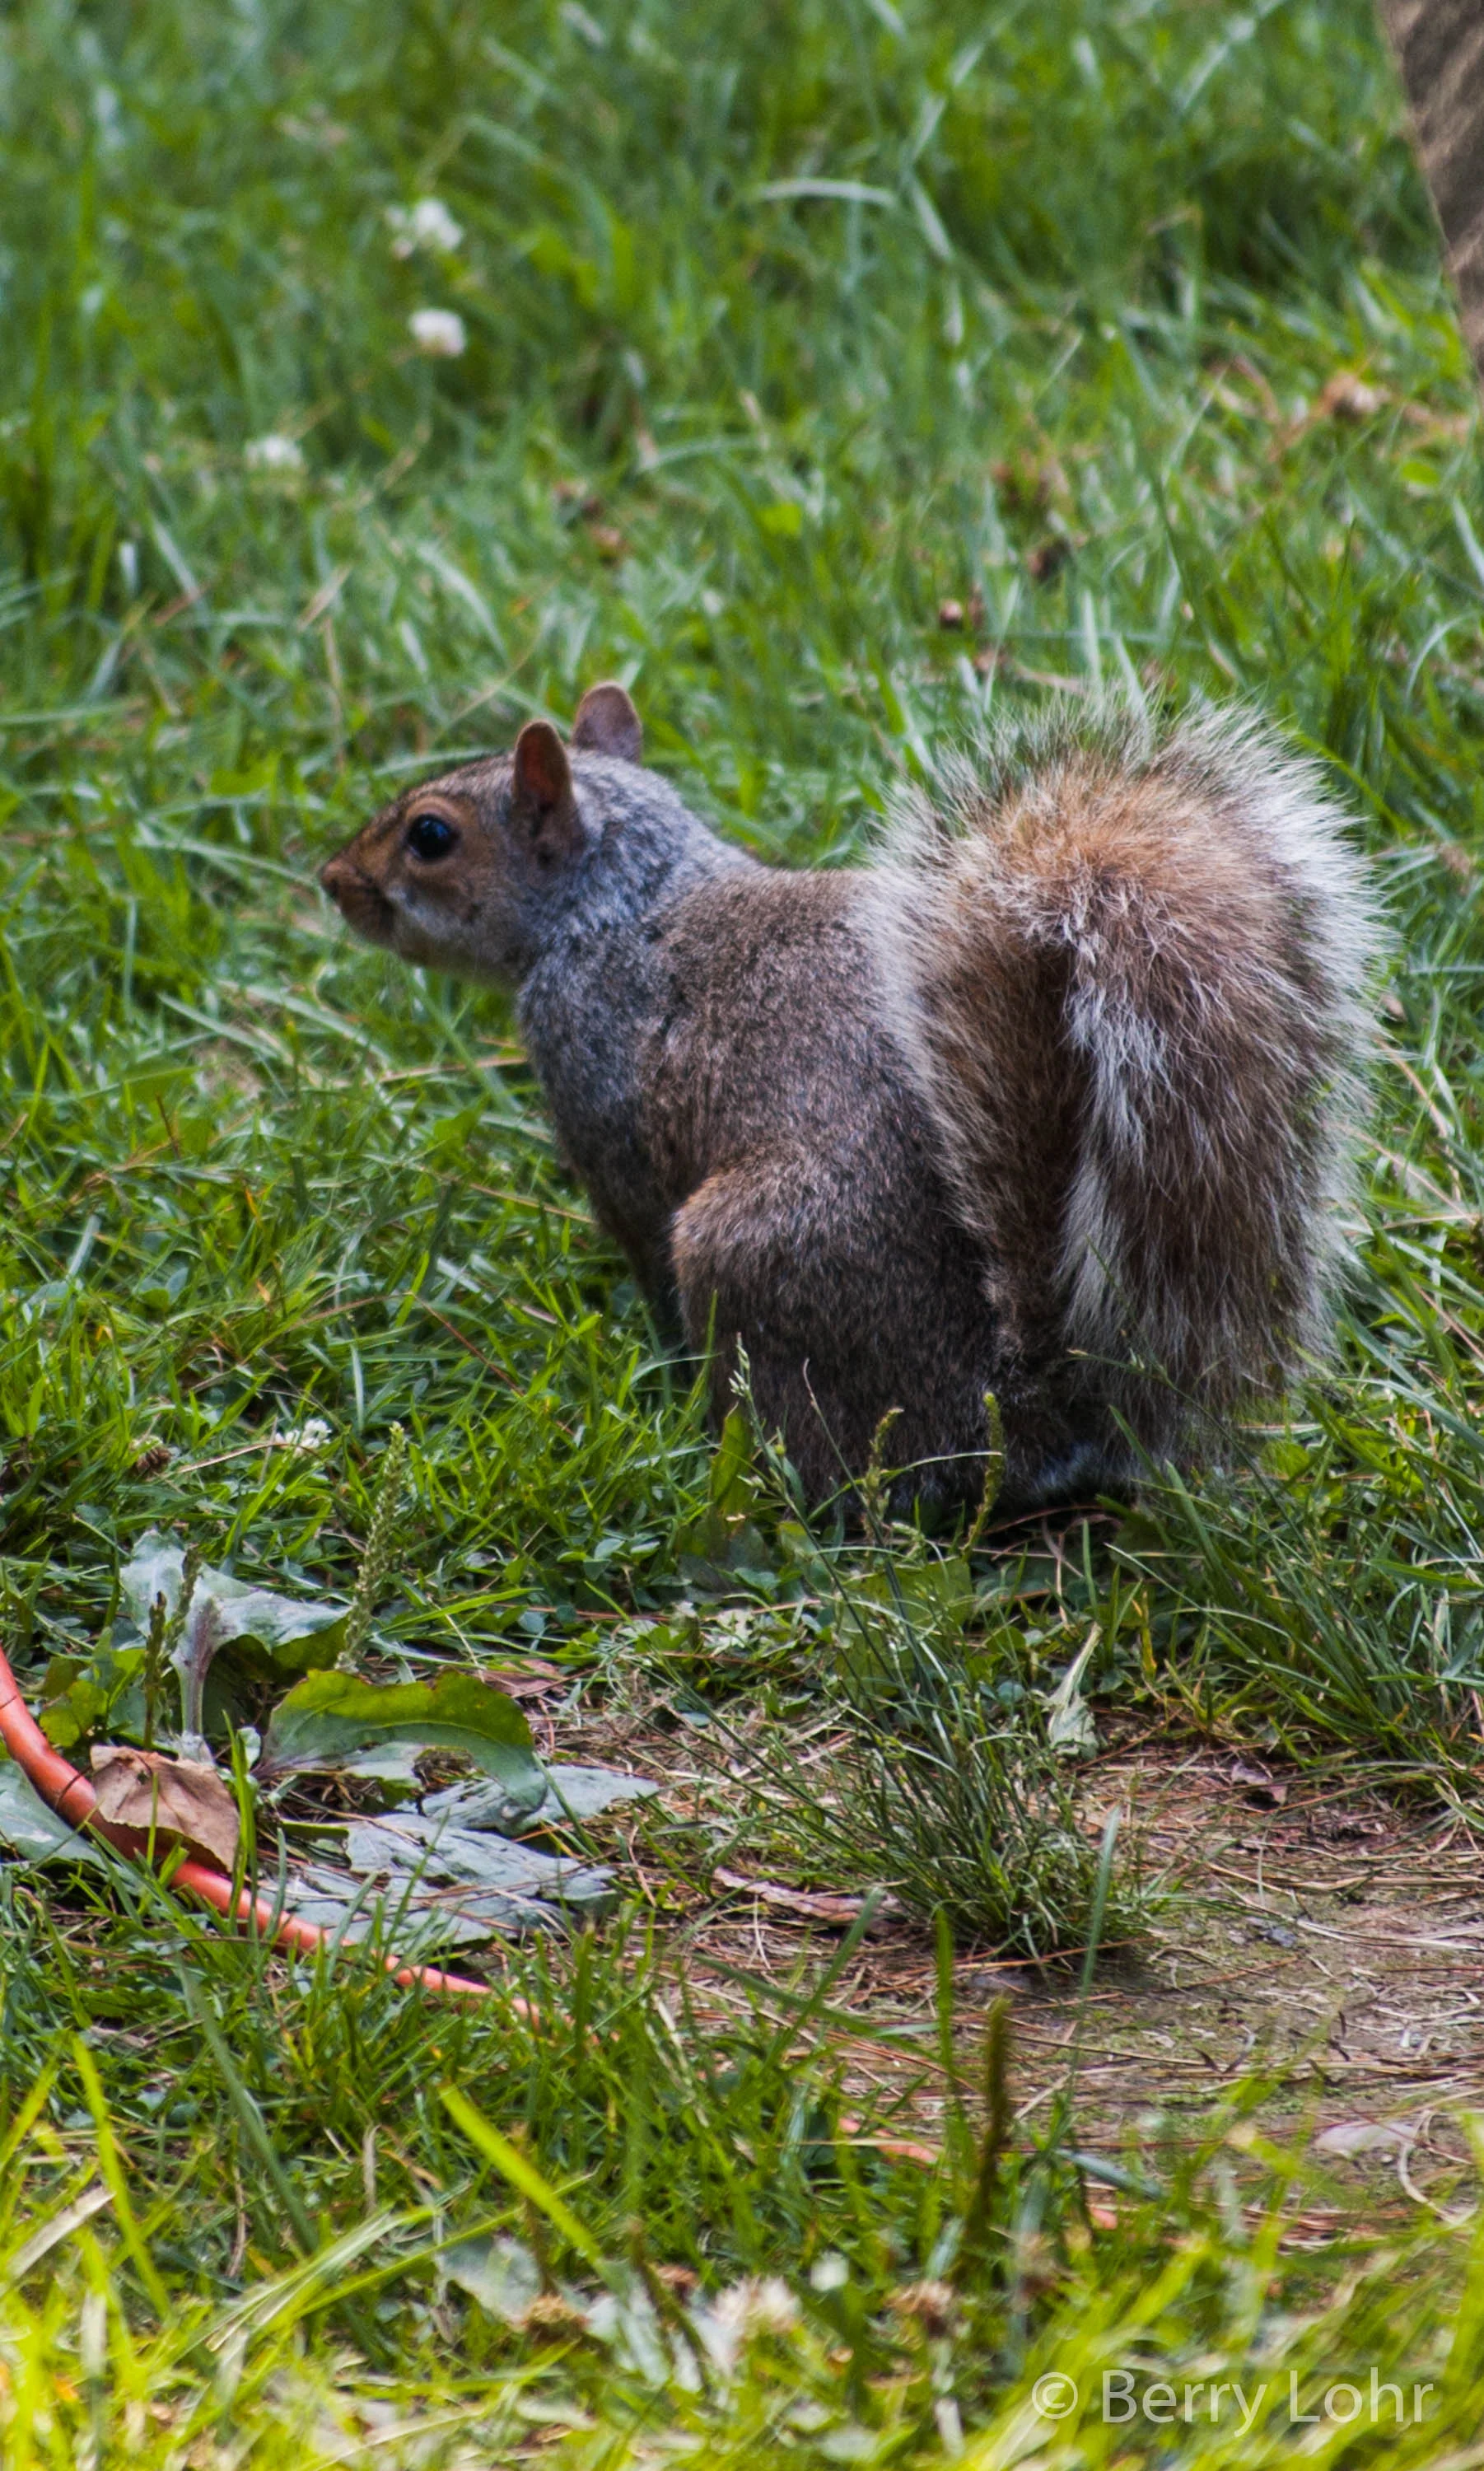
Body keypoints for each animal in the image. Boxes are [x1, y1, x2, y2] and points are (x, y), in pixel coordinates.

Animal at [319, 683, 1378, 1518]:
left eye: (429, 836)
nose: (332, 881)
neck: (618, 905)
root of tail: (1015, 1421)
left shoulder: (602, 1107)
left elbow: (637, 1240)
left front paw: (652, 1353)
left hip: (746, 1255)